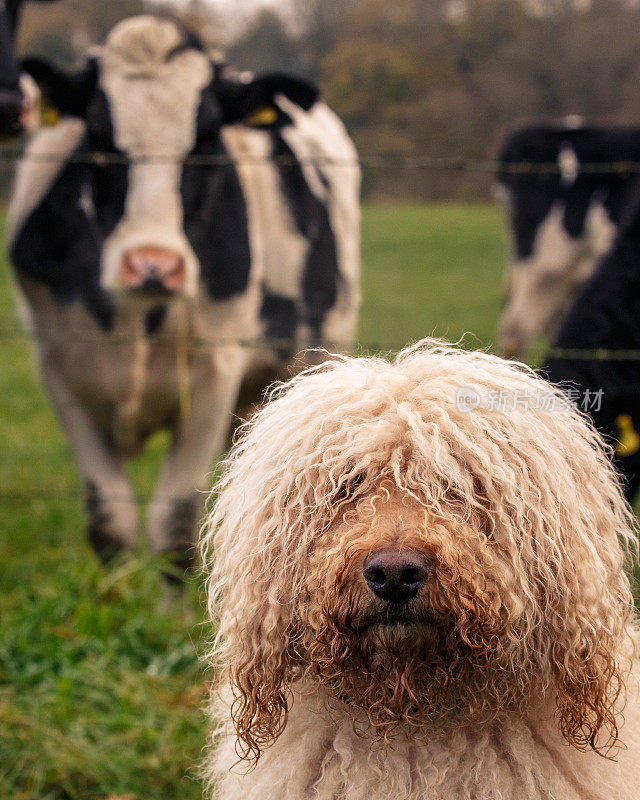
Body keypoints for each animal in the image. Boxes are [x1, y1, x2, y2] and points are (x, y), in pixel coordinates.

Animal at [11, 15, 360, 572]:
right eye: (100, 136)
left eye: (205, 141)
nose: (153, 265)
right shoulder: (61, 370)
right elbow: (110, 524)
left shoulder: (212, 375)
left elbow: (174, 529)